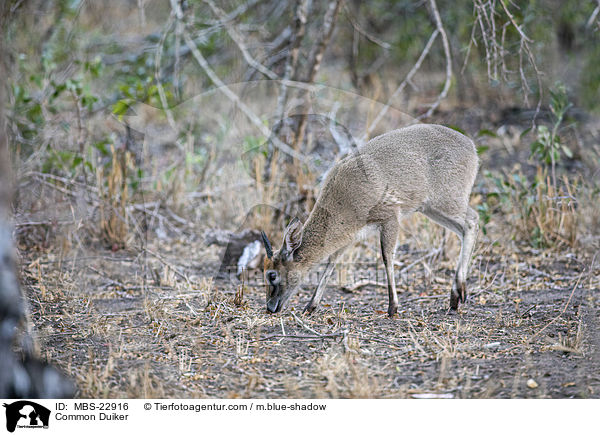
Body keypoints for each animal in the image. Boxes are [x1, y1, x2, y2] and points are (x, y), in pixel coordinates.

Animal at [260, 123, 480, 316]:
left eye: (272, 274)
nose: (270, 307)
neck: (344, 199)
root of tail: (473, 149)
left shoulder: (390, 215)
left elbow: (386, 256)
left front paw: (393, 308)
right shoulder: (350, 236)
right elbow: (331, 263)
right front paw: (310, 306)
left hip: (447, 199)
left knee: (473, 220)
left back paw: (456, 294)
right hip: (431, 207)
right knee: (465, 227)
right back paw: (455, 298)